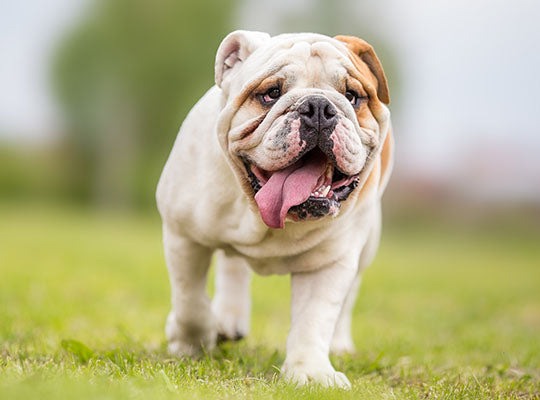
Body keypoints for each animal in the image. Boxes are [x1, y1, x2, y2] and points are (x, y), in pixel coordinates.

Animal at [156, 30, 392, 388]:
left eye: (352, 96)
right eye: (271, 94)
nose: (319, 106)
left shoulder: (330, 261)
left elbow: (314, 319)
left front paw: (311, 373)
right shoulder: (184, 235)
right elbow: (190, 300)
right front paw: (189, 343)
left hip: (367, 245)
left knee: (349, 295)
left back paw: (339, 344)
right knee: (231, 266)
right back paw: (228, 318)